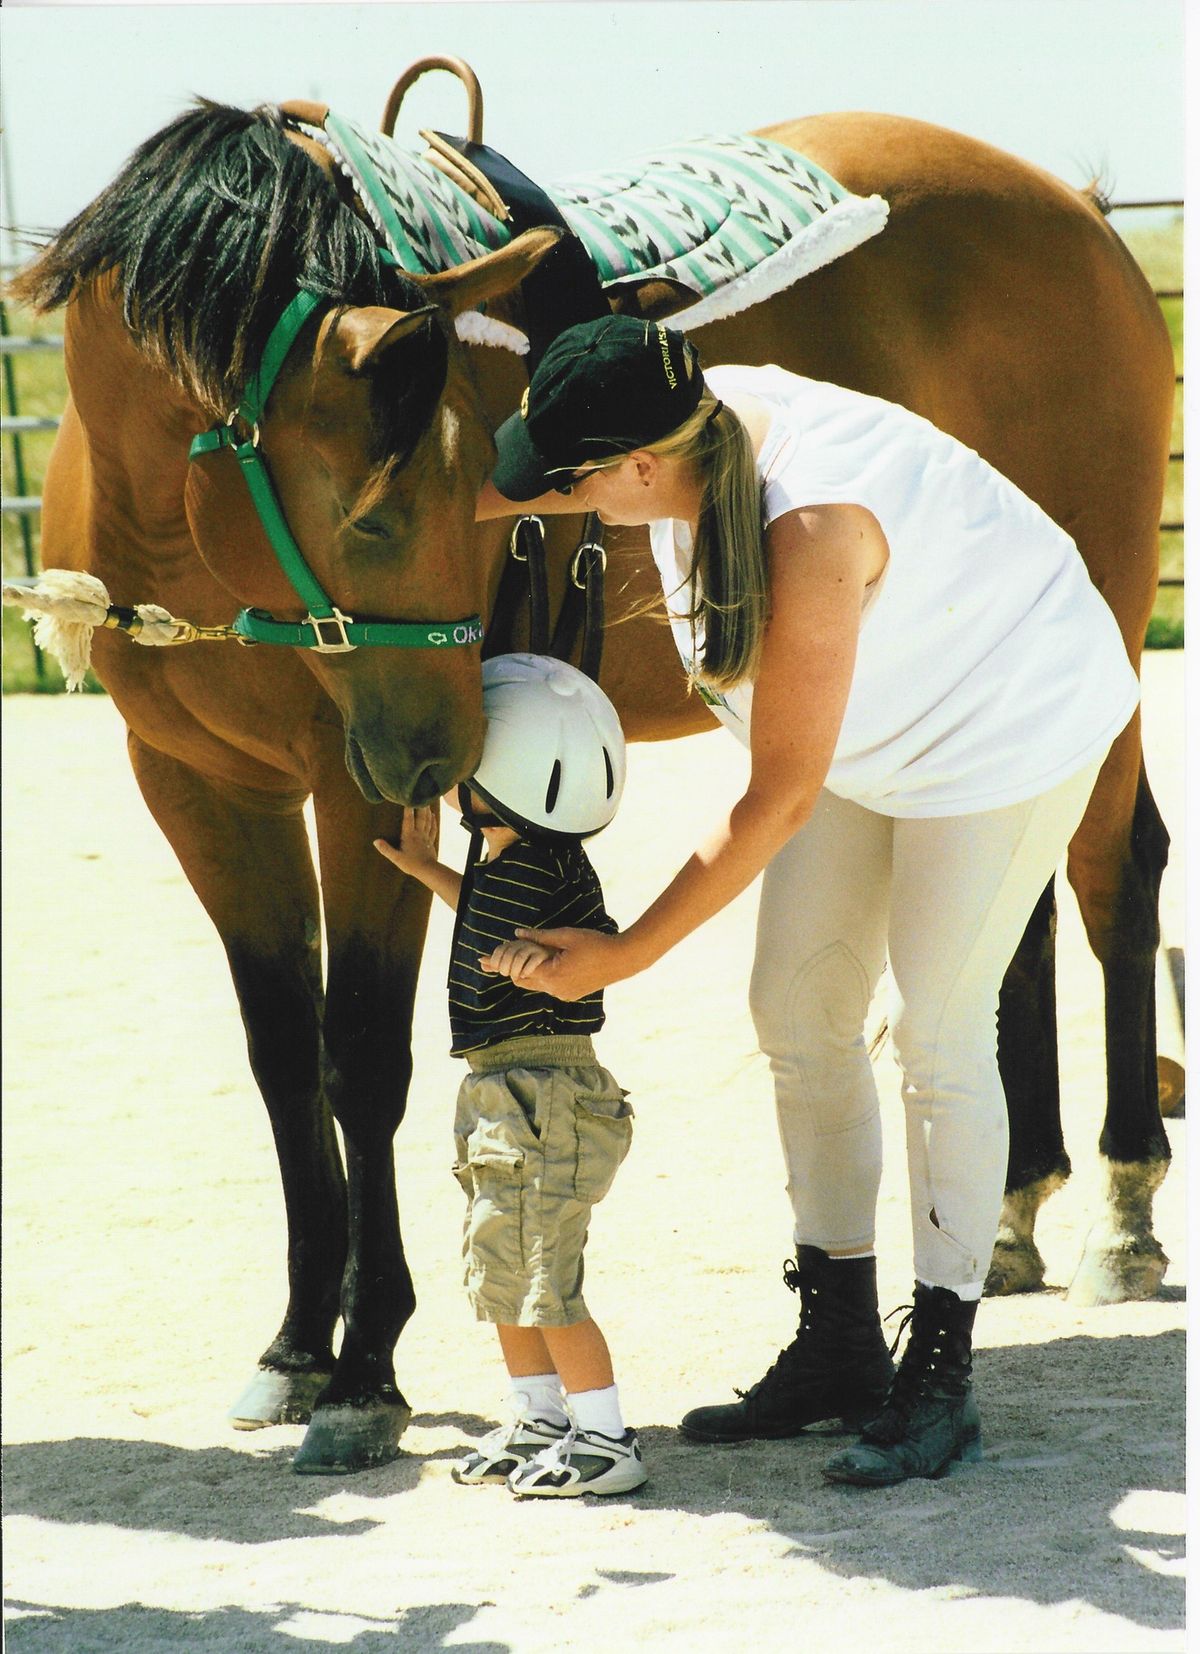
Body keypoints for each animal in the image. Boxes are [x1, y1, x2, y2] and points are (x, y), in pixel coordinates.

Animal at [9, 83, 1176, 1481]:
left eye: (463, 487)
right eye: (377, 515)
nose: (439, 754)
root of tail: (1078, 212)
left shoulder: (353, 798)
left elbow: (362, 1062)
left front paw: (364, 1367)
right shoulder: (199, 790)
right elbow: (285, 1063)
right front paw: (295, 1347)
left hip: (1104, 629)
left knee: (1113, 878)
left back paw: (1121, 1213)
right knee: (1022, 923)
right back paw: (1011, 1213)